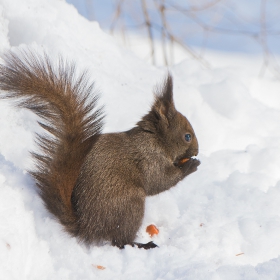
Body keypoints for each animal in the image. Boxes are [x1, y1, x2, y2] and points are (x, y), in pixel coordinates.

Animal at [0, 49, 201, 249]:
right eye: (187, 136)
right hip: (131, 204)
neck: (154, 139)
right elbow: (159, 181)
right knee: (120, 241)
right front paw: (191, 165)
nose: (197, 151)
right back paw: (142, 244)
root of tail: (87, 226)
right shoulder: (149, 158)